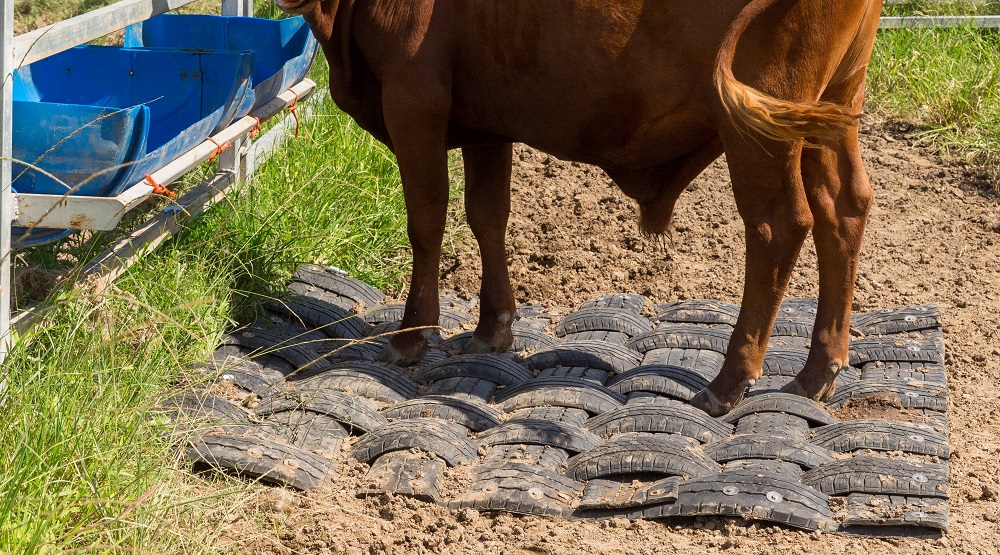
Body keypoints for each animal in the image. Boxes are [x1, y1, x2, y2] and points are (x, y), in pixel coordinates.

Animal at [274, 0, 884, 414]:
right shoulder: (487, 119)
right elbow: (487, 216)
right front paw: (493, 328)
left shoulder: (413, 99)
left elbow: (427, 221)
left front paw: (410, 338)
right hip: (831, 106)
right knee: (844, 209)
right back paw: (816, 371)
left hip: (759, 121)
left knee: (778, 226)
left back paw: (730, 381)